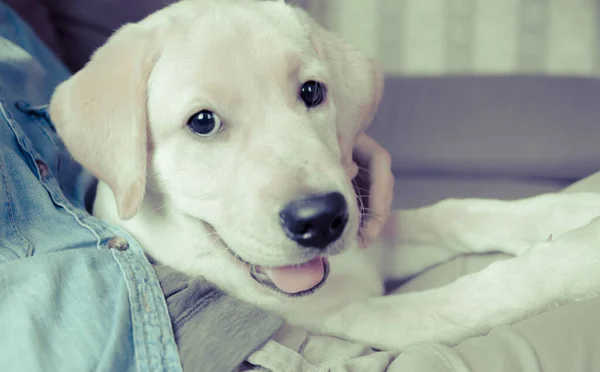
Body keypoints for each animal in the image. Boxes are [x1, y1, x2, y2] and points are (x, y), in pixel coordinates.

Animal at [48, 0, 600, 352]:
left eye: (312, 92)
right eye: (202, 122)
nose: (320, 220)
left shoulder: (368, 233)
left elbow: (453, 212)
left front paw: (573, 210)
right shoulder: (357, 318)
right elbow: (475, 296)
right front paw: (577, 259)